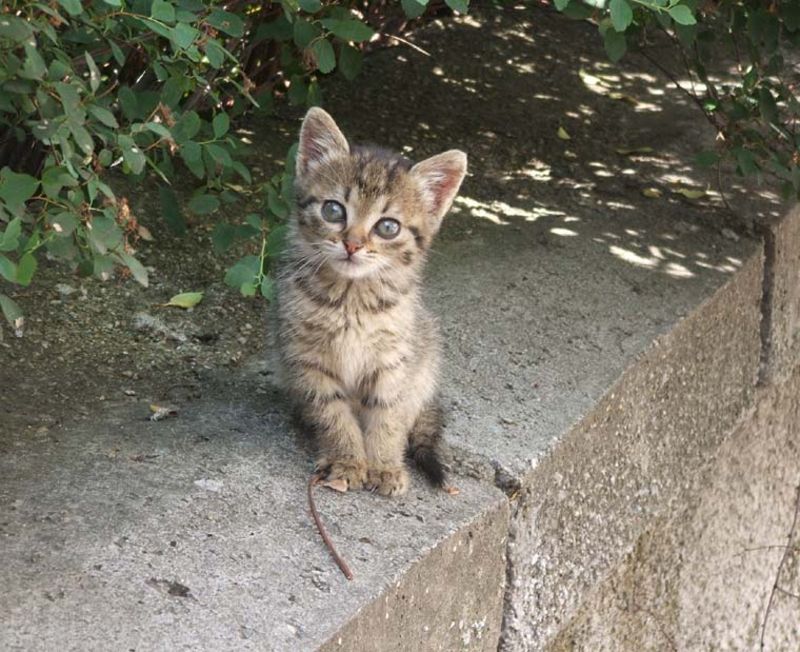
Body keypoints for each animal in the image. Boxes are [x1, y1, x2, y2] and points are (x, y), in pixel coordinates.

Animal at [276, 107, 467, 496]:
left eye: (388, 227)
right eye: (333, 210)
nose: (352, 244)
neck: (352, 299)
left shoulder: (394, 363)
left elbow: (389, 416)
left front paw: (383, 464)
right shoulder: (308, 360)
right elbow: (333, 414)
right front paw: (347, 460)